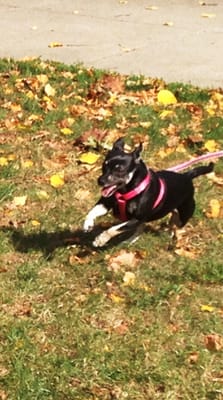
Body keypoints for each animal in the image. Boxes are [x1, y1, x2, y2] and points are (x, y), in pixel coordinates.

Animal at [83, 139, 214, 248]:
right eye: (104, 165)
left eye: (119, 169)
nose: (100, 181)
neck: (127, 190)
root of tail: (187, 176)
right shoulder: (107, 202)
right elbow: (92, 211)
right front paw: (87, 224)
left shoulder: (137, 218)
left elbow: (114, 229)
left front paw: (101, 239)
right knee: (145, 228)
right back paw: (131, 240)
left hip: (184, 214)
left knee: (177, 224)